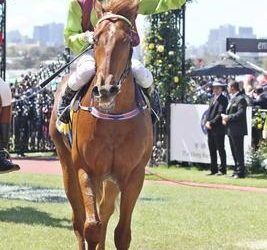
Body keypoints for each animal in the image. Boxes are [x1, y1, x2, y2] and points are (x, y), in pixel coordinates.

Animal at [49, 0, 153, 249]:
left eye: (127, 39)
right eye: (95, 39)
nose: (105, 90)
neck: (114, 119)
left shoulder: (133, 174)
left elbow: (121, 233)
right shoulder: (86, 170)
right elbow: (91, 227)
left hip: (111, 179)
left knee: (105, 213)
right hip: (67, 165)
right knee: (79, 220)